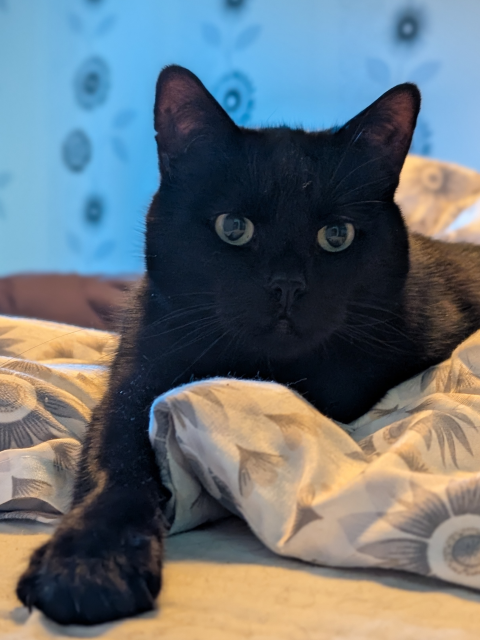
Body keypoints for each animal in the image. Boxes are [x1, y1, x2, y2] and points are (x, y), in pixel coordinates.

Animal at [16, 65, 480, 624]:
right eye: (233, 227)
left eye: (337, 235)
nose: (287, 285)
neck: (268, 369)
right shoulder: (133, 383)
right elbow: (113, 464)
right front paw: (87, 566)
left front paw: (87, 572)